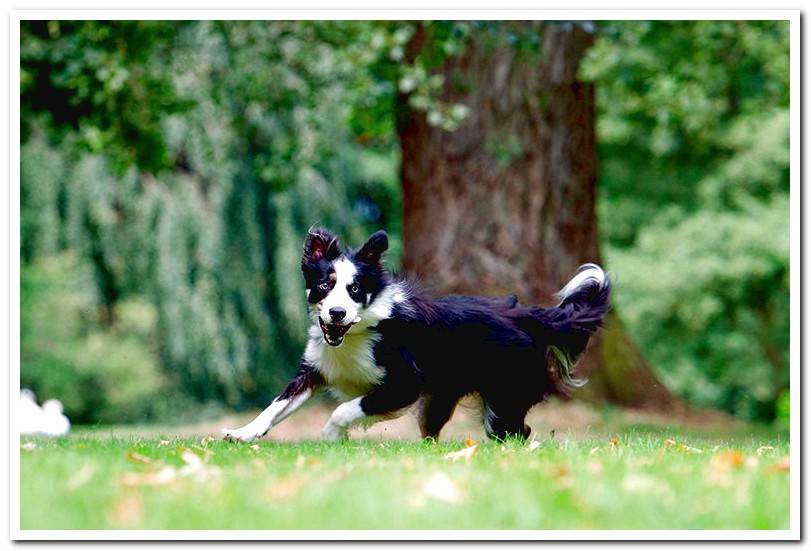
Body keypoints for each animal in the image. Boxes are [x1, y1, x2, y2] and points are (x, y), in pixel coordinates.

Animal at [222, 229, 608, 444]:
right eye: (324, 286)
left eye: (355, 289)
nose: (336, 314)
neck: (358, 332)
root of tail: (527, 316)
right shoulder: (315, 369)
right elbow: (275, 406)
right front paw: (242, 433)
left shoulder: (404, 383)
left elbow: (346, 409)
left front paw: (331, 436)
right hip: (441, 400)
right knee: (433, 432)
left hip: (505, 400)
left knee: (518, 433)